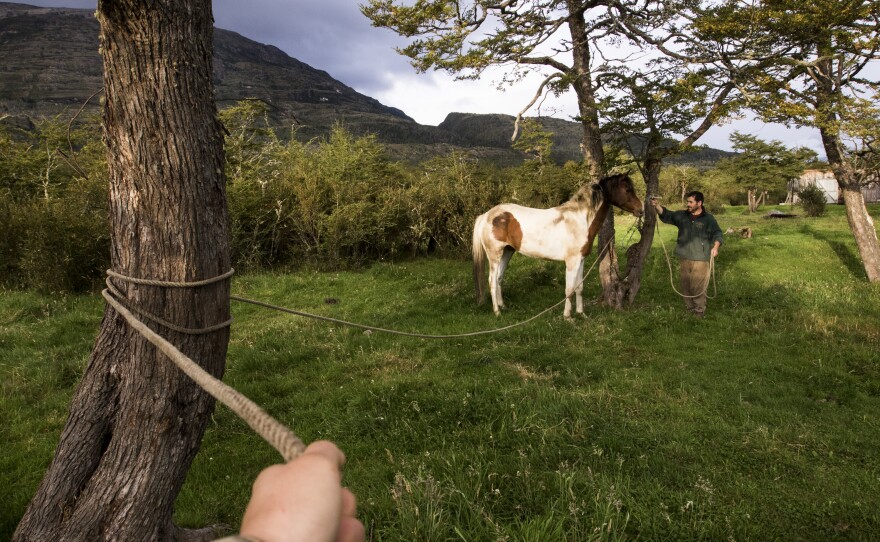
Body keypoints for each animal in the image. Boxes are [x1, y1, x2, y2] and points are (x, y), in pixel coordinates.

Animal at [474, 174, 648, 318]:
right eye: (627, 189)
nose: (641, 210)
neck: (580, 220)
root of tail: (487, 215)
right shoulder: (571, 262)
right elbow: (569, 289)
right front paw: (568, 317)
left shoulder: (581, 260)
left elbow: (579, 287)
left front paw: (582, 314)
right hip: (494, 254)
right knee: (491, 280)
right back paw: (497, 312)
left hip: (507, 252)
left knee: (499, 278)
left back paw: (503, 307)